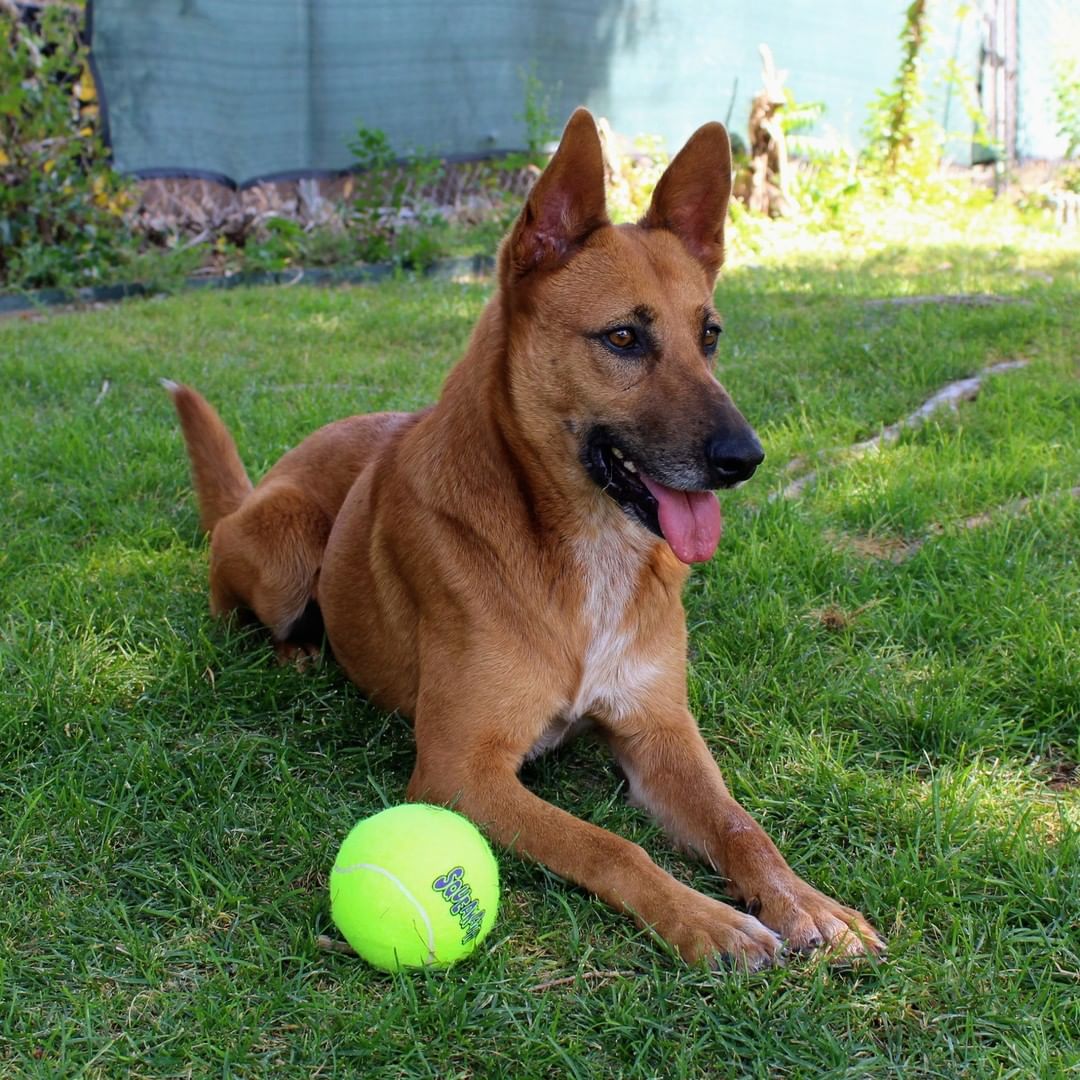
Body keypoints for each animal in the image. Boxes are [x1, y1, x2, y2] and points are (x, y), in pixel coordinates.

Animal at [166, 109, 876, 972]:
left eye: (709, 335)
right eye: (623, 338)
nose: (745, 459)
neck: (583, 550)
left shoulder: (660, 731)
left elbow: (743, 826)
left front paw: (808, 903)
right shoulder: (460, 770)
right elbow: (610, 846)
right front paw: (709, 920)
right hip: (284, 546)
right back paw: (298, 649)